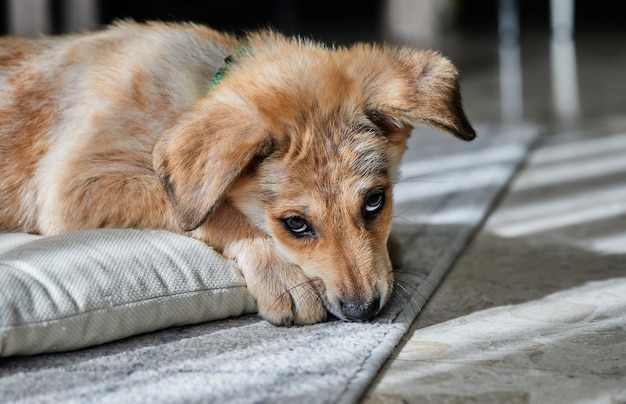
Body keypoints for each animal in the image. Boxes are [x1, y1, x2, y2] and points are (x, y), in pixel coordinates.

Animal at [0, 21, 472, 326]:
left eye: (375, 201)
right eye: (295, 224)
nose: (364, 312)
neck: (192, 91)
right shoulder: (73, 185)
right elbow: (211, 212)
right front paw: (281, 275)